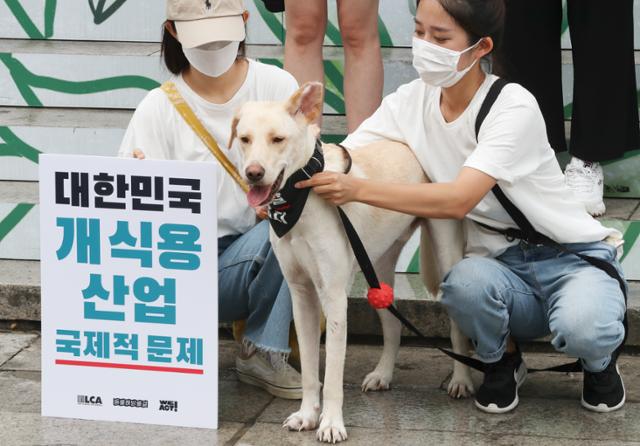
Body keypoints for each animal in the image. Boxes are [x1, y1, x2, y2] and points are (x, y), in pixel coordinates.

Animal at [232, 83, 472, 442]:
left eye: (278, 139)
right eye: (245, 139)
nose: (253, 174)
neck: (301, 196)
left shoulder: (333, 297)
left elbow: (332, 374)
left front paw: (331, 423)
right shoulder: (301, 294)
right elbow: (310, 371)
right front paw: (307, 415)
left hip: (446, 255)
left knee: (456, 325)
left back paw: (461, 380)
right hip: (377, 268)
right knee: (392, 324)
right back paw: (383, 374)